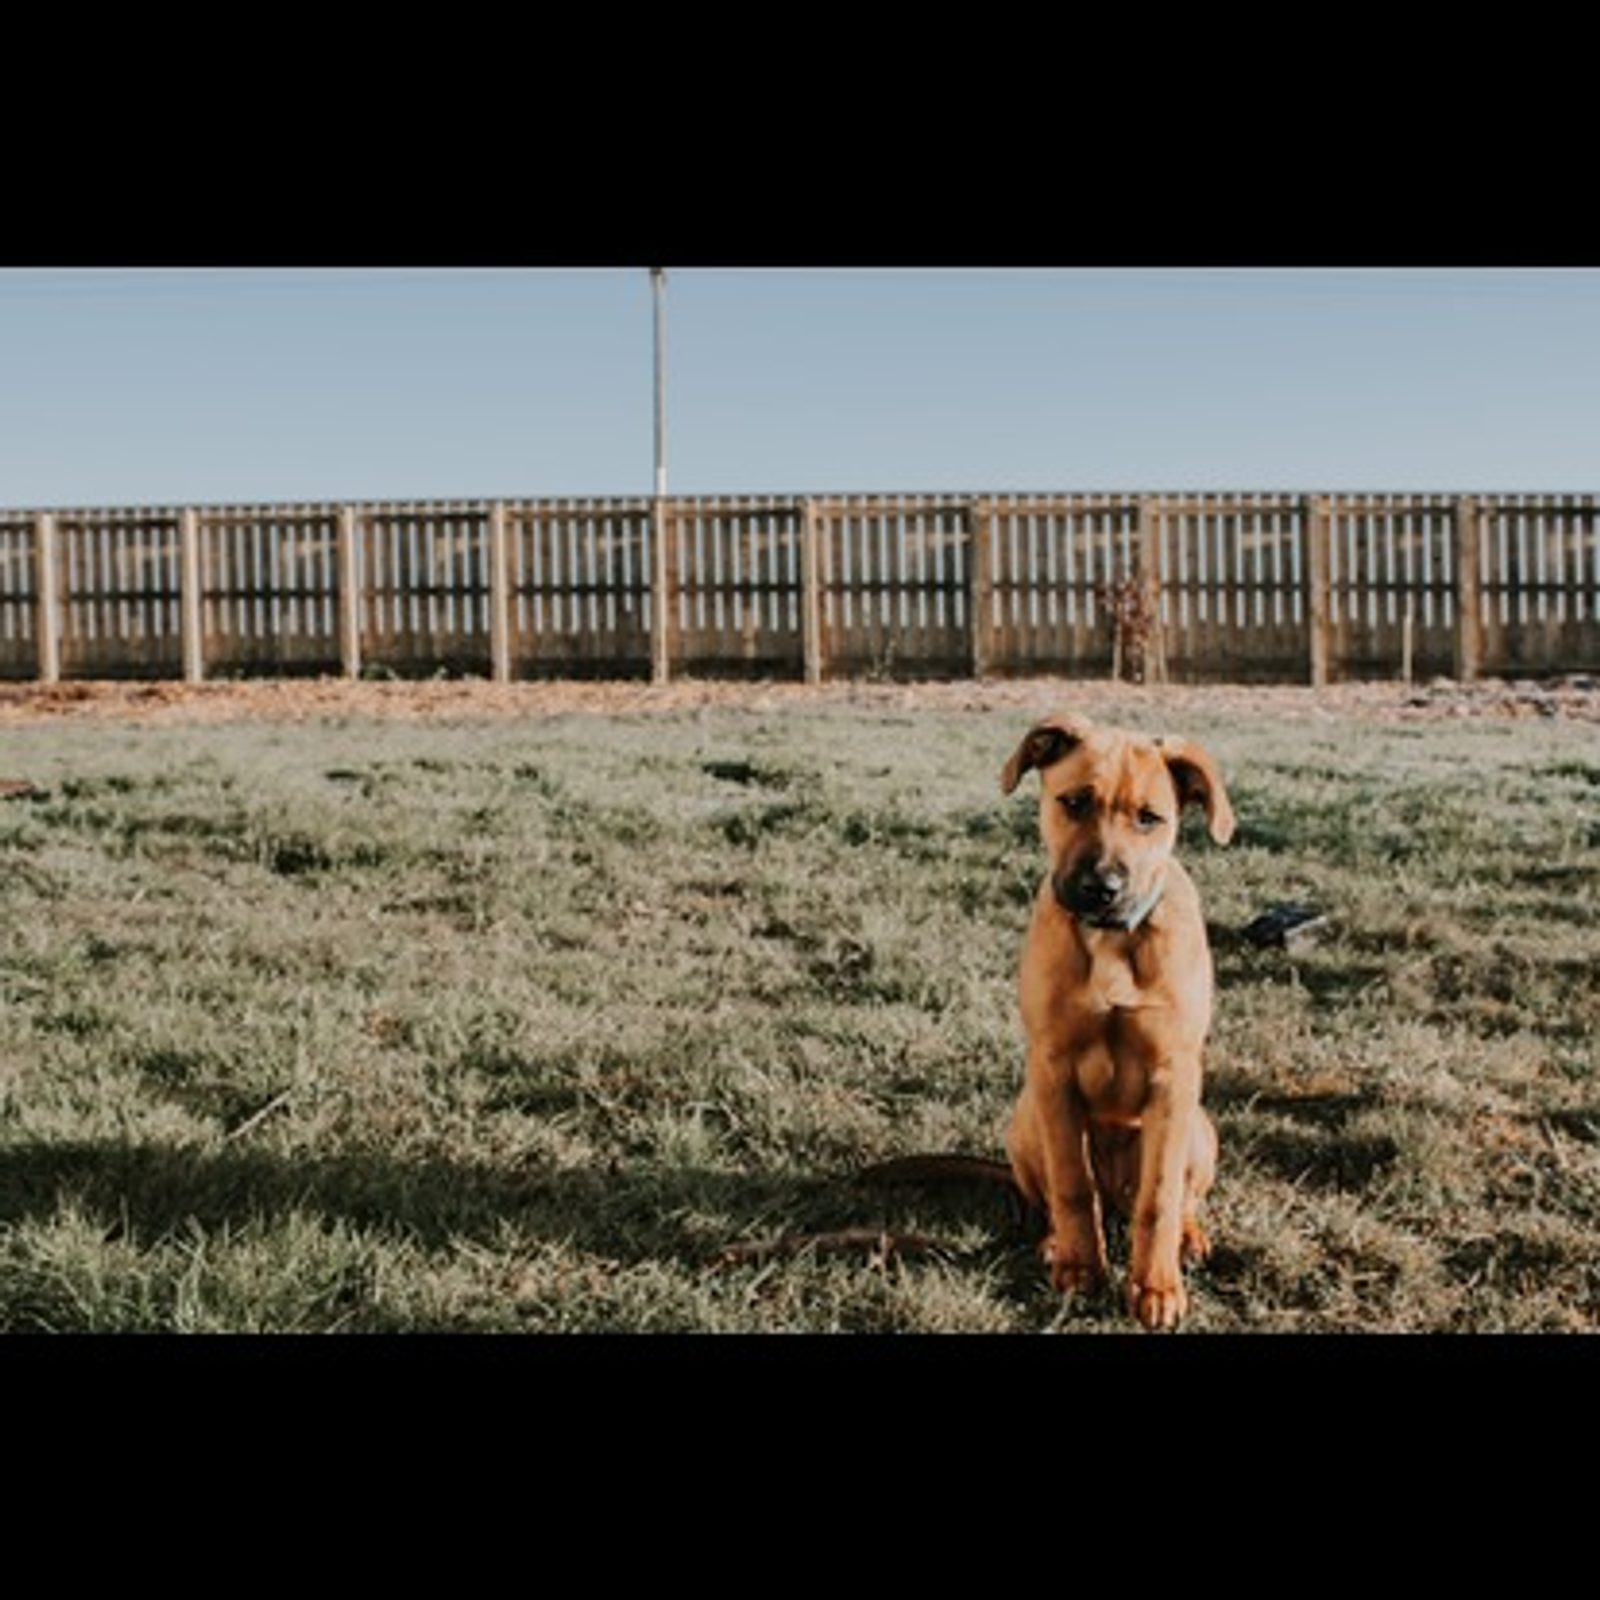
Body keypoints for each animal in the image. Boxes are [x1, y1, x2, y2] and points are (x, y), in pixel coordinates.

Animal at [1000, 713, 1234, 1329]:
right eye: (1075, 802)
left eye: (1150, 818)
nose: (1102, 889)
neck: (1109, 938)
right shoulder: (1053, 1069)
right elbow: (1072, 1185)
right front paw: (1082, 1269)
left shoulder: (1173, 1080)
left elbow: (1159, 1198)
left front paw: (1156, 1289)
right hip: (1026, 1118)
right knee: (1068, 1195)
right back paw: (1055, 1242)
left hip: (1199, 1129)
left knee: (1176, 1199)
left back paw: (1188, 1239)